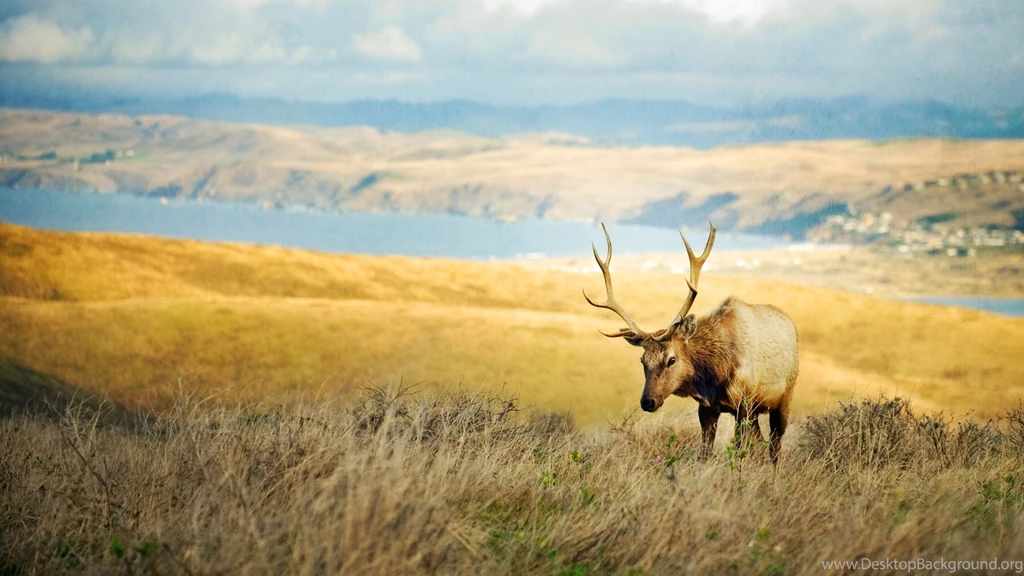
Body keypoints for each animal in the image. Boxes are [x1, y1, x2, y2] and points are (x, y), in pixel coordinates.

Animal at [583, 222, 799, 464]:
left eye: (672, 359)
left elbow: (739, 453)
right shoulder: (707, 408)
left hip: (785, 396)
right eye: (642, 360)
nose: (647, 401)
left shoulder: (744, 403)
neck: (714, 374)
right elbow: (704, 453)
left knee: (775, 446)